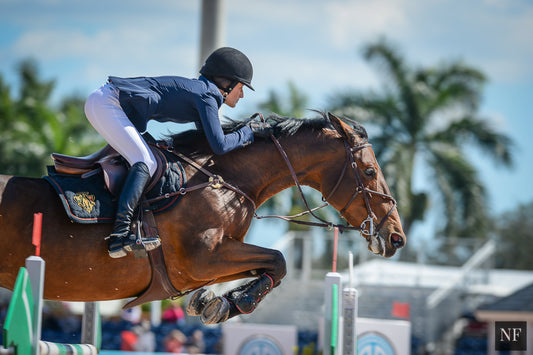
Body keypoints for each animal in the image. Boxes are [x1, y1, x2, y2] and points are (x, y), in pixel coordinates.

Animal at [0, 112, 404, 324]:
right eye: (369, 172)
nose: (396, 238)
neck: (221, 179)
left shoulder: (207, 263)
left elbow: (270, 265)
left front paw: (215, 301)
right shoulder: (200, 259)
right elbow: (279, 260)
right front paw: (231, 303)